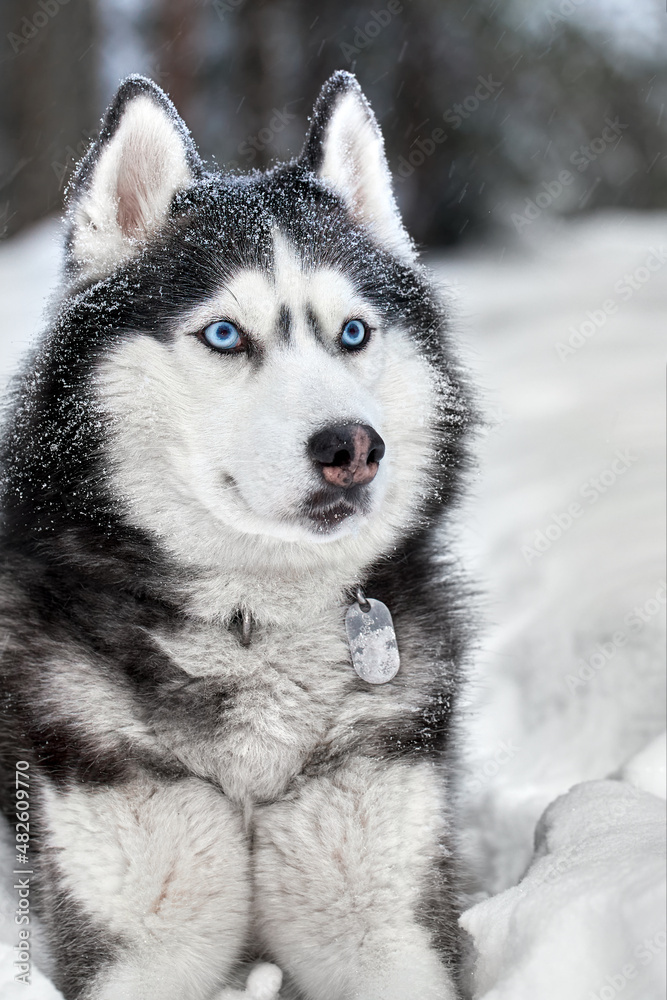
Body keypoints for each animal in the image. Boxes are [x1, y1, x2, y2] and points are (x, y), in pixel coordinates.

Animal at [0, 72, 470, 1000]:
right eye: (225, 334)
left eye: (353, 333)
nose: (352, 448)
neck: (257, 621)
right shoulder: (142, 939)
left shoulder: (378, 917)